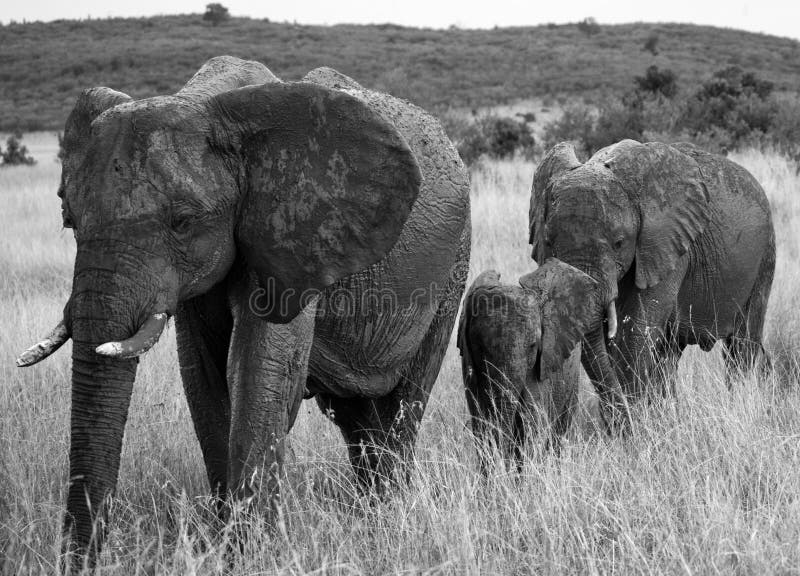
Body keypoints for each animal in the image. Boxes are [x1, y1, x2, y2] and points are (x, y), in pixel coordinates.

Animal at [15, 55, 472, 568]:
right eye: (69, 219)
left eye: (183, 222)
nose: (82, 562)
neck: (203, 104)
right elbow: (206, 380)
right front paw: (229, 546)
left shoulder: (288, 231)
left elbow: (257, 372)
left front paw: (252, 555)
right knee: (360, 419)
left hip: (452, 266)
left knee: (403, 407)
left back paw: (388, 521)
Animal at [456, 258, 600, 468]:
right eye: (479, 347)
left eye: (533, 345)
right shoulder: (469, 364)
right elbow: (480, 420)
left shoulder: (543, 364)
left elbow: (530, 421)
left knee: (560, 427)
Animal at [532, 138, 776, 428]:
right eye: (548, 242)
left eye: (619, 243)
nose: (618, 421)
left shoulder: (667, 246)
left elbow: (633, 334)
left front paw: (632, 428)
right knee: (669, 355)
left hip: (764, 257)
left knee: (742, 345)